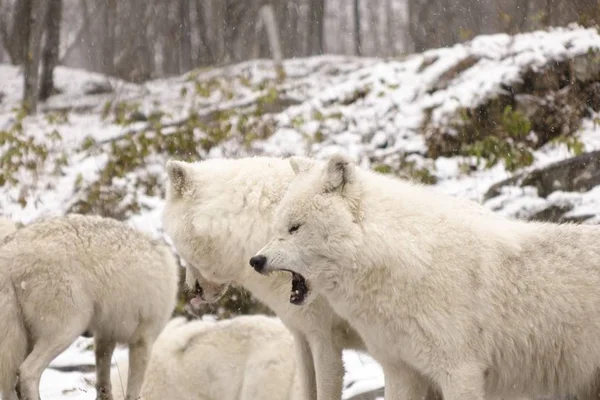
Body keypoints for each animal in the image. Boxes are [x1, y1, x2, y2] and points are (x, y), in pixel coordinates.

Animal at [0, 214, 178, 400]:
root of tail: (9, 252)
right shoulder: (143, 340)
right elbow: (132, 392)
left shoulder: (105, 336)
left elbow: (103, 384)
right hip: (66, 330)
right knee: (27, 374)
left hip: (21, 342)